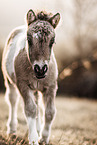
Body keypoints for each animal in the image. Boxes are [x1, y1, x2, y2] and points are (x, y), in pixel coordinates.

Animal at [1, 9, 59, 144]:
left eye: (52, 41)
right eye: (28, 39)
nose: (40, 69)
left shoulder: (51, 87)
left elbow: (50, 112)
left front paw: (43, 138)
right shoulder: (23, 85)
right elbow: (30, 109)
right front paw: (33, 139)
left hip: (36, 89)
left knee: (37, 103)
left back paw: (38, 129)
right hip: (9, 81)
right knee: (12, 100)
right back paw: (12, 129)